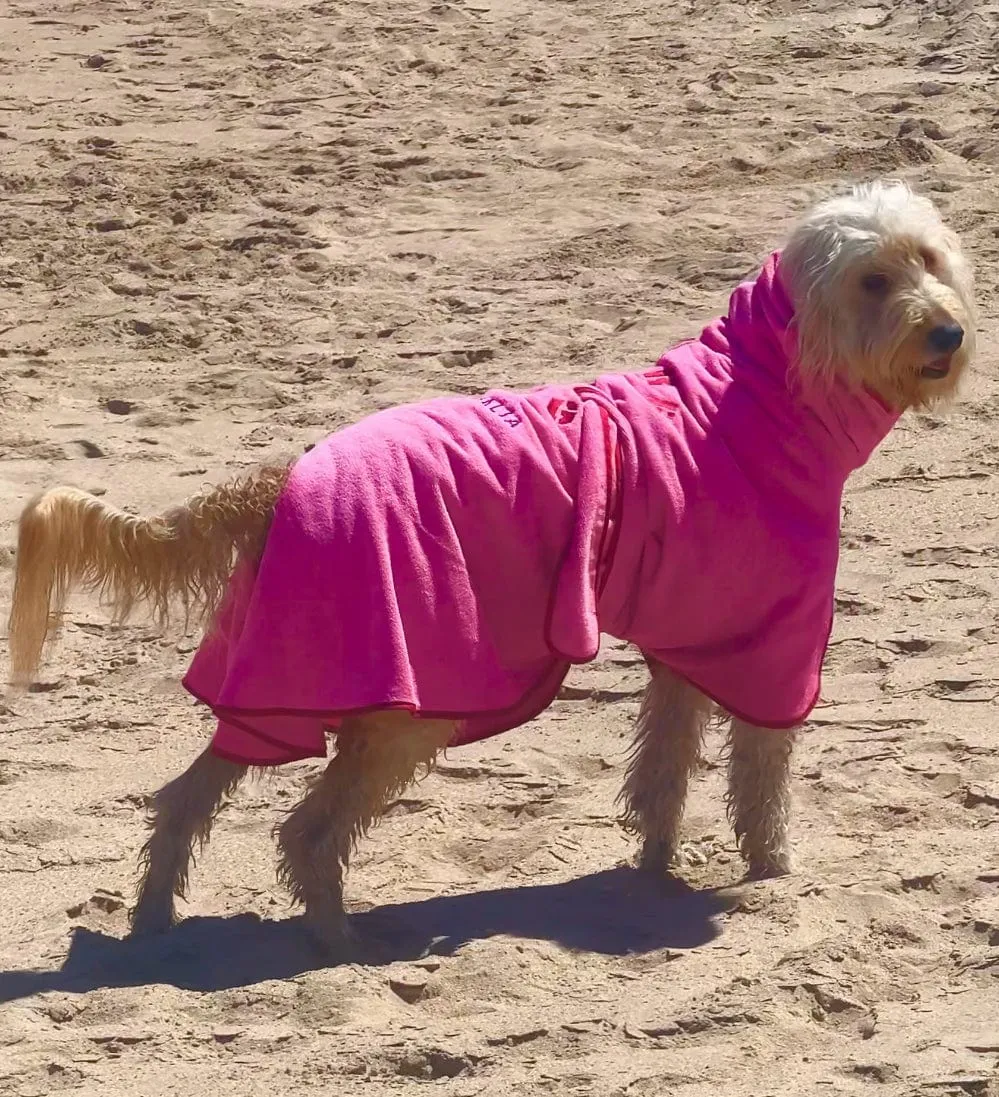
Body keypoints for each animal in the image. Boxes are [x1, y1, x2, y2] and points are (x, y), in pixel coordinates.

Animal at [5, 177, 978, 952]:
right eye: (872, 279)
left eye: (929, 258)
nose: (948, 334)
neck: (761, 392)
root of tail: (287, 473)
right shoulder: (768, 643)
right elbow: (760, 771)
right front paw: (770, 867)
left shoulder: (687, 646)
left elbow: (663, 769)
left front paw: (655, 866)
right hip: (409, 701)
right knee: (306, 830)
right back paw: (337, 940)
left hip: (279, 680)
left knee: (185, 797)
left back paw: (155, 919)